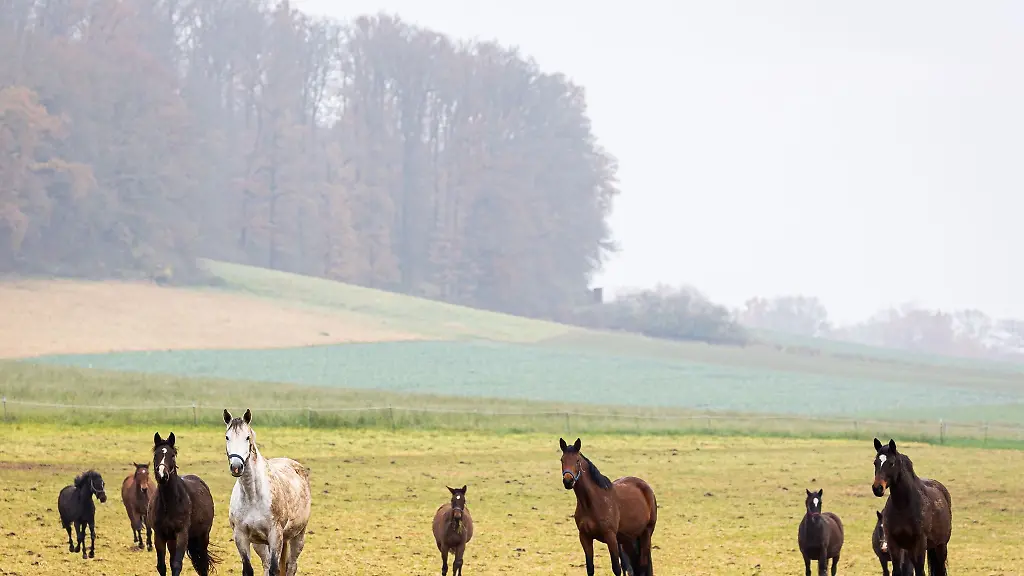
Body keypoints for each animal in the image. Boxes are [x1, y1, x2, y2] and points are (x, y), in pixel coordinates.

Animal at [149, 432, 219, 576]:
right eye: (156, 455)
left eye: (172, 455)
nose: (162, 476)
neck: (169, 504)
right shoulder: (159, 535)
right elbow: (162, 566)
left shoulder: (182, 534)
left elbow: (177, 565)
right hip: (171, 540)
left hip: (202, 537)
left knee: (203, 564)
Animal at [224, 408, 312, 576]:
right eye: (227, 437)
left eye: (247, 437)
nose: (236, 467)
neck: (252, 496)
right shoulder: (241, 536)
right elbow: (249, 569)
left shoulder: (275, 536)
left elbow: (274, 569)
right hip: (260, 543)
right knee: (266, 564)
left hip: (298, 535)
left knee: (291, 566)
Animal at [559, 437, 657, 576]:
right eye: (562, 460)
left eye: (577, 460)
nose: (568, 481)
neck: (592, 503)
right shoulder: (585, 537)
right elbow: (590, 568)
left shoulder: (610, 537)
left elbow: (616, 568)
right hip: (627, 539)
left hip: (646, 534)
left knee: (643, 565)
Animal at [872, 438, 952, 576]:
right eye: (875, 462)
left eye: (891, 463)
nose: (877, 488)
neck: (903, 507)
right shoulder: (894, 544)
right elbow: (897, 571)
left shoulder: (920, 543)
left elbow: (920, 571)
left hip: (940, 546)